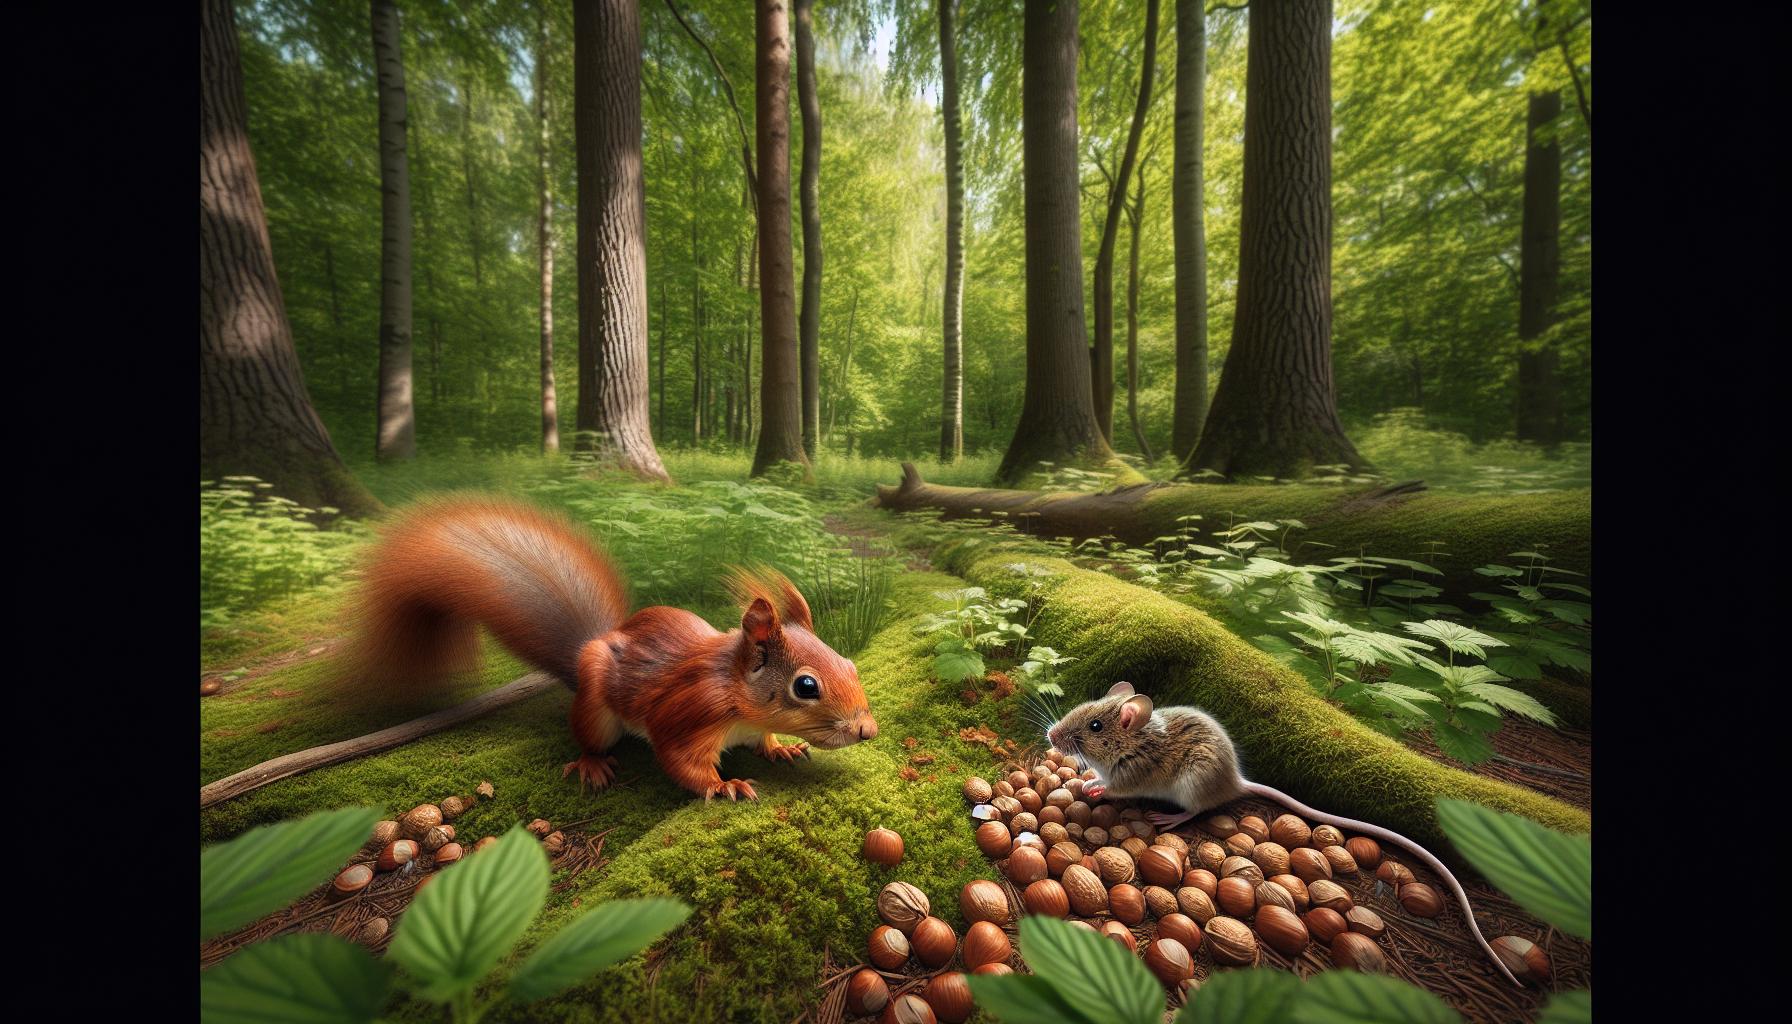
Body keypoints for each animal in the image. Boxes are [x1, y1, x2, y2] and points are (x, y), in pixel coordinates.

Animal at [345, 497, 878, 802]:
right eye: (805, 686)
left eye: (849, 663)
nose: (868, 730)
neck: (738, 695)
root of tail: (591, 647)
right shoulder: (688, 715)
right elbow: (681, 762)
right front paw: (723, 784)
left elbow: (763, 740)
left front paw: (781, 747)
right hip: (597, 712)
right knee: (587, 735)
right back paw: (592, 764)